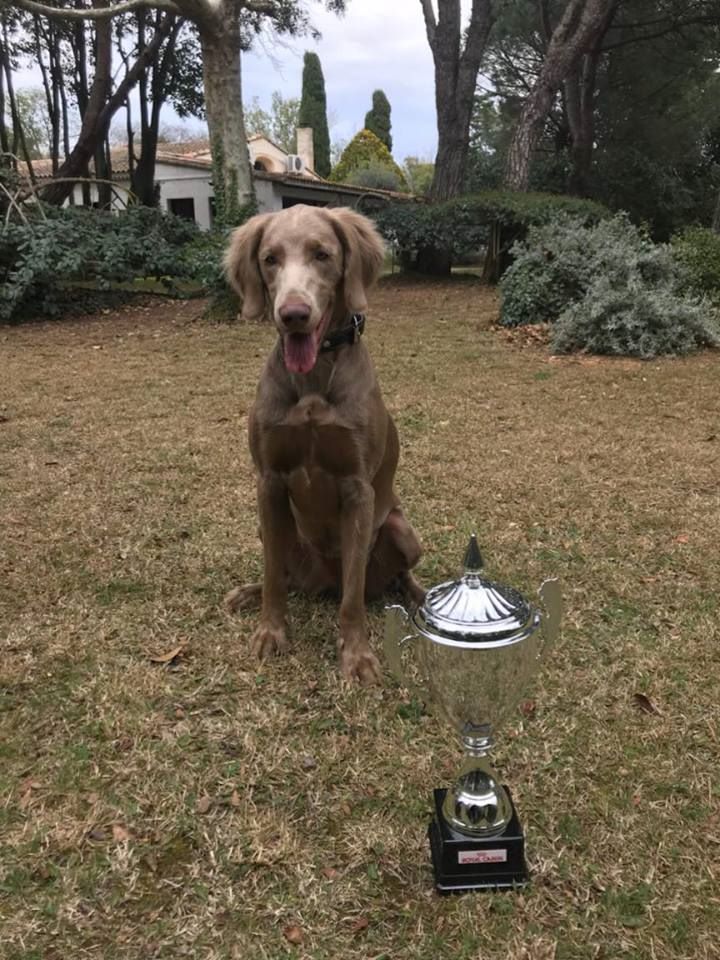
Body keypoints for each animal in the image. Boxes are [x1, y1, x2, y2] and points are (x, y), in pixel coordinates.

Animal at [224, 204, 422, 684]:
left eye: (322, 255)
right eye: (270, 259)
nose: (293, 313)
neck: (313, 381)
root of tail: (322, 583)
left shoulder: (357, 488)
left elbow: (353, 596)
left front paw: (358, 656)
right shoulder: (269, 481)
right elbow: (273, 575)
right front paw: (270, 632)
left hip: (402, 530)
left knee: (391, 578)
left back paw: (423, 600)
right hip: (272, 530)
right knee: (286, 576)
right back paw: (246, 593)